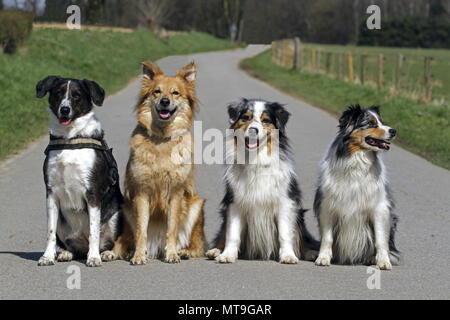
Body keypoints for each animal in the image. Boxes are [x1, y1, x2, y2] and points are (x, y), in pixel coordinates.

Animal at [36, 76, 123, 266]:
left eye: (77, 96)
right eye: (58, 93)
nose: (65, 109)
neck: (70, 139)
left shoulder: (93, 192)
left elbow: (93, 231)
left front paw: (94, 258)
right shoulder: (51, 193)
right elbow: (50, 232)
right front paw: (47, 256)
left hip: (117, 215)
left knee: (111, 241)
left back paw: (106, 253)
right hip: (62, 221)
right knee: (72, 246)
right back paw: (67, 253)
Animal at [206, 99, 318, 264]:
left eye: (265, 120)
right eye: (245, 117)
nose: (254, 130)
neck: (256, 159)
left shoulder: (285, 202)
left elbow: (285, 233)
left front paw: (288, 256)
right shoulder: (235, 202)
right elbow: (232, 233)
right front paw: (227, 255)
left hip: (299, 216)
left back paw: (310, 253)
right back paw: (215, 251)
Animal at [312, 105, 400, 270]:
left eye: (381, 121)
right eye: (371, 123)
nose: (393, 131)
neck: (357, 159)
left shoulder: (379, 208)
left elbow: (380, 238)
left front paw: (383, 261)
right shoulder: (327, 206)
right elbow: (327, 237)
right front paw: (323, 258)